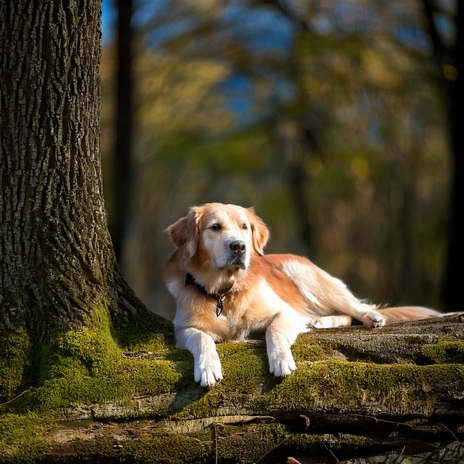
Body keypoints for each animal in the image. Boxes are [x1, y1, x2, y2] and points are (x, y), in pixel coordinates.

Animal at [163, 203, 438, 388]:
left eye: (244, 227)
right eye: (215, 227)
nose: (239, 246)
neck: (223, 292)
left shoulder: (286, 311)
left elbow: (274, 330)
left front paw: (281, 360)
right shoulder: (183, 329)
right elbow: (202, 338)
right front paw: (207, 367)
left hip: (305, 274)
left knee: (354, 308)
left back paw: (370, 317)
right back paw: (319, 322)